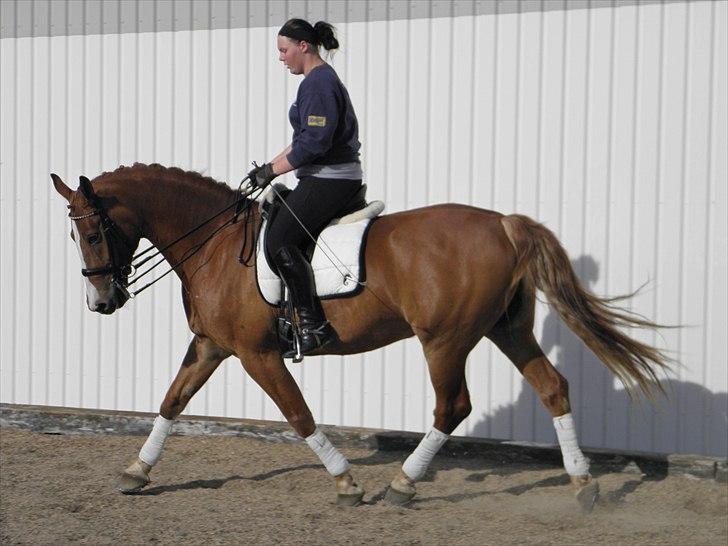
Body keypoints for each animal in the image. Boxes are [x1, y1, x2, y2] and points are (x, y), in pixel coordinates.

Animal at [48, 163, 668, 510]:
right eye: (75, 235)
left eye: (95, 232)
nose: (101, 302)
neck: (217, 246)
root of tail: (503, 223)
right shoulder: (211, 346)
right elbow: (172, 401)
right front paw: (136, 472)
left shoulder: (255, 354)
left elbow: (298, 414)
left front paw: (347, 483)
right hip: (504, 329)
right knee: (552, 386)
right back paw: (583, 486)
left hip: (444, 339)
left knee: (453, 406)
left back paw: (403, 484)